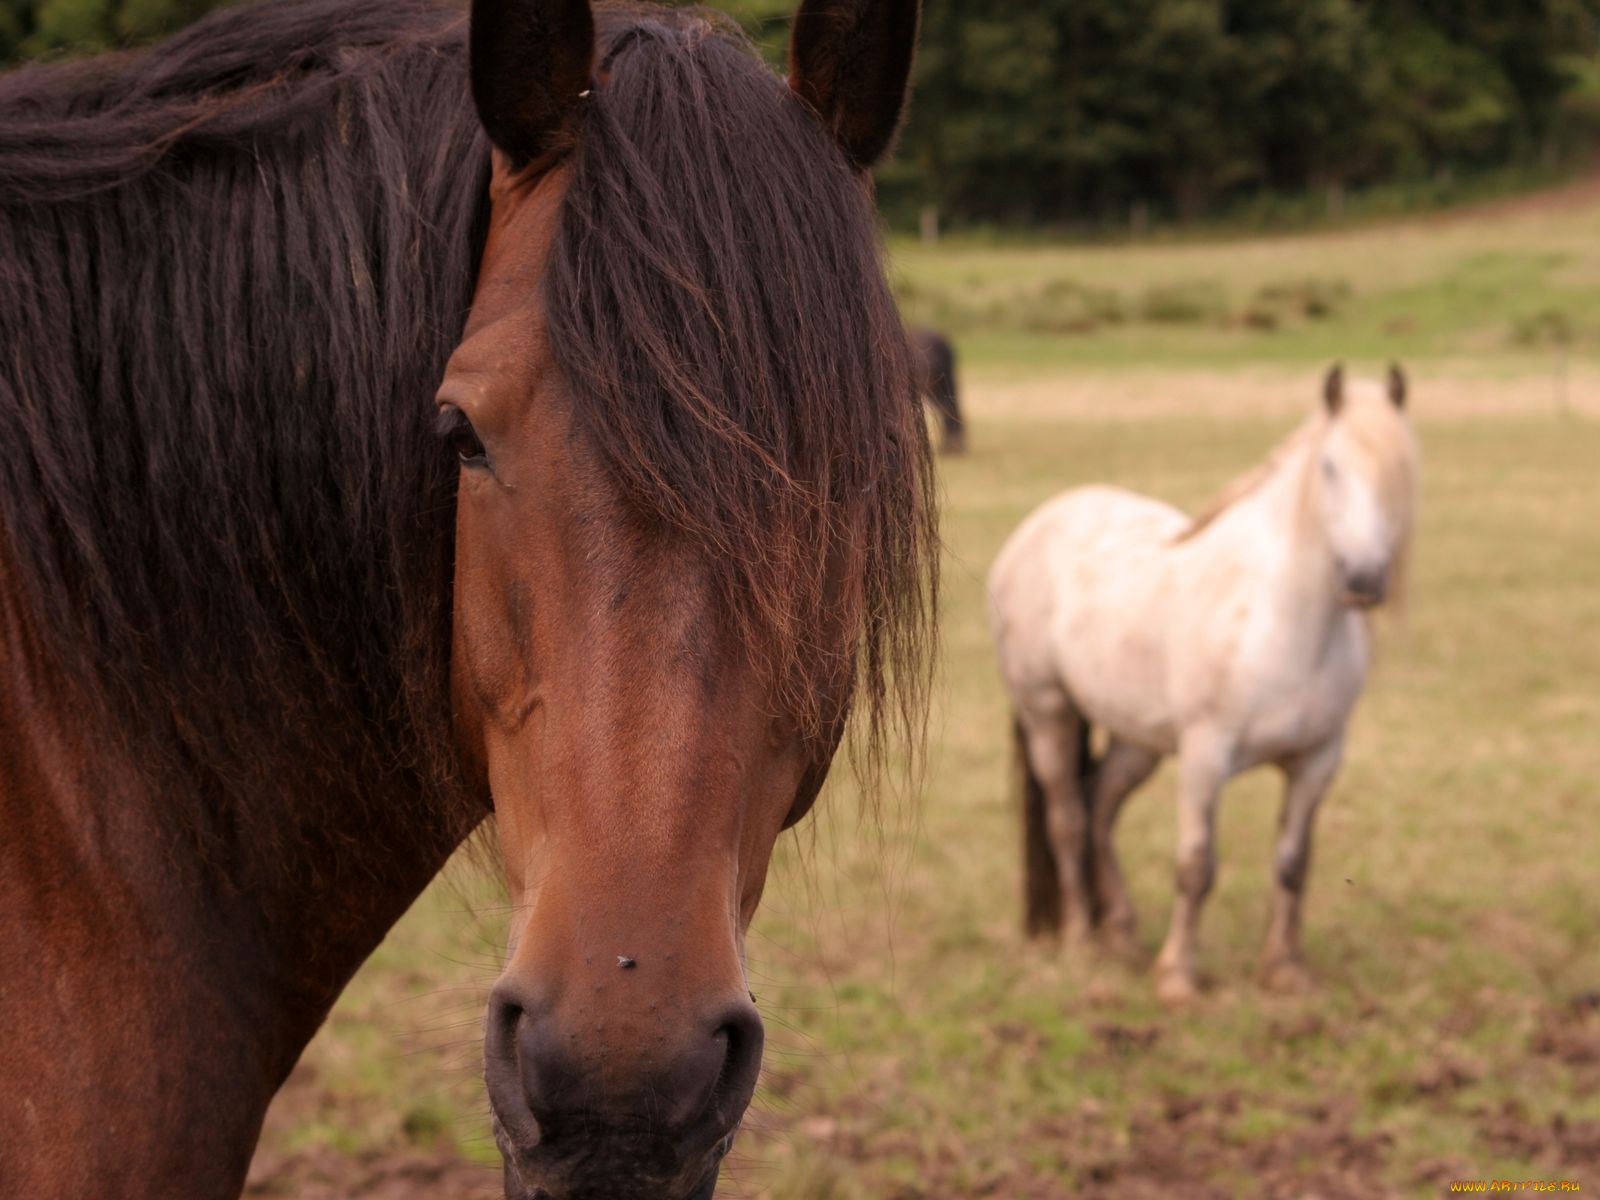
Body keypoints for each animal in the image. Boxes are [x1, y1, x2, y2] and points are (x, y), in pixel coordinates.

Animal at [992, 369, 1420, 1004]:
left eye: (1403, 467)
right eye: (1329, 466)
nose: (1365, 579)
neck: (1287, 621)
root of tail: (1034, 528)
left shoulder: (1317, 762)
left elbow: (1293, 864)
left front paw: (1284, 969)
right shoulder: (1204, 757)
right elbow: (1196, 867)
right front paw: (1177, 977)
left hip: (1138, 739)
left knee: (1099, 806)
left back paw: (1120, 930)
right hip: (1049, 715)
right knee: (1066, 818)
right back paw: (1081, 940)